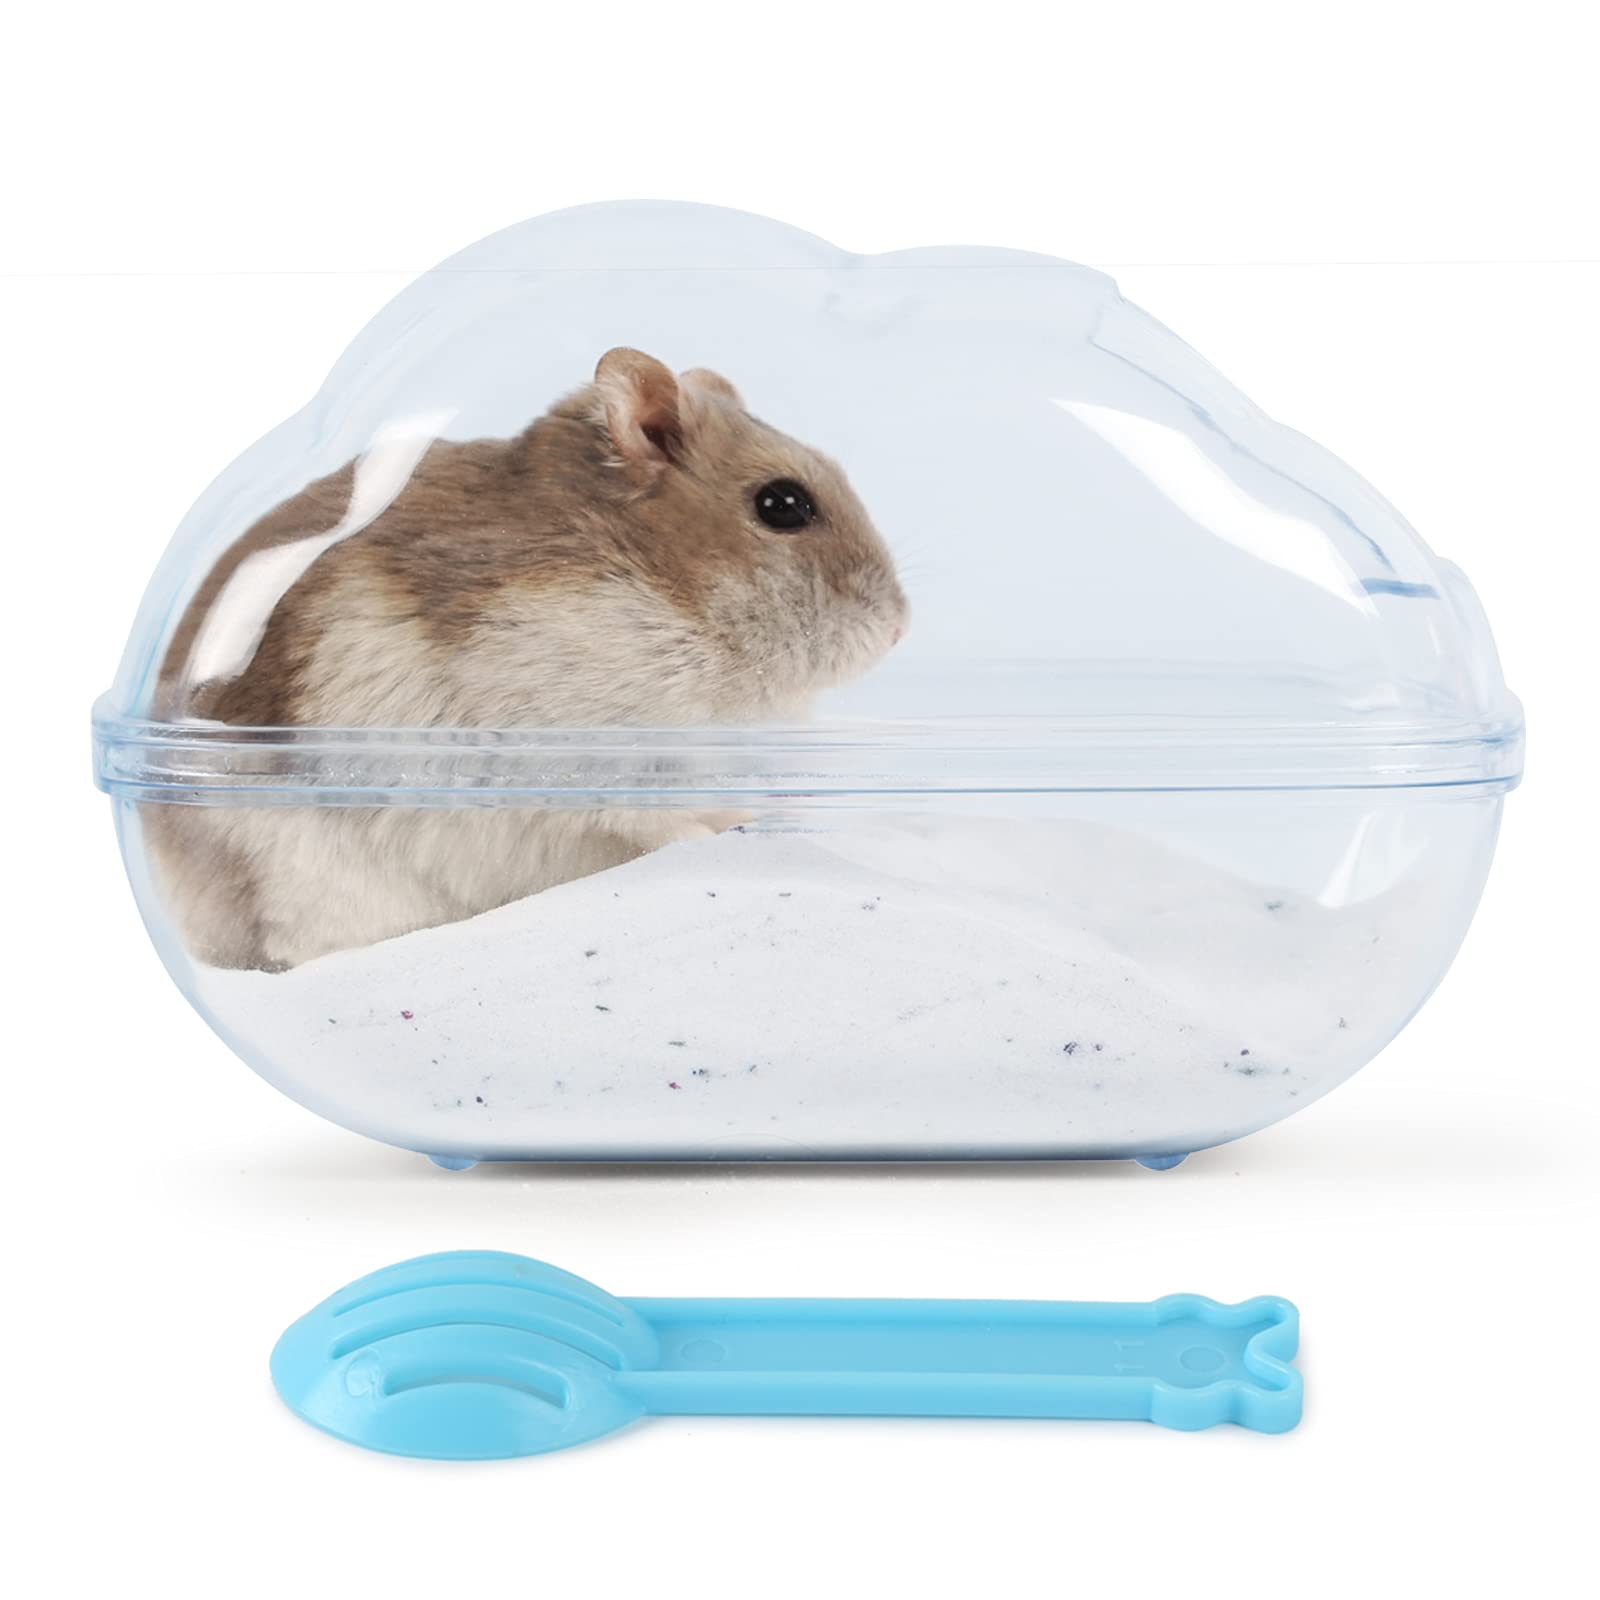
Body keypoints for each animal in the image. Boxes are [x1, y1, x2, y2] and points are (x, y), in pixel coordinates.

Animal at [146, 348, 908, 971]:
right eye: (783, 504)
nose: (900, 627)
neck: (674, 605)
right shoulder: (579, 752)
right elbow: (650, 816)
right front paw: (719, 835)